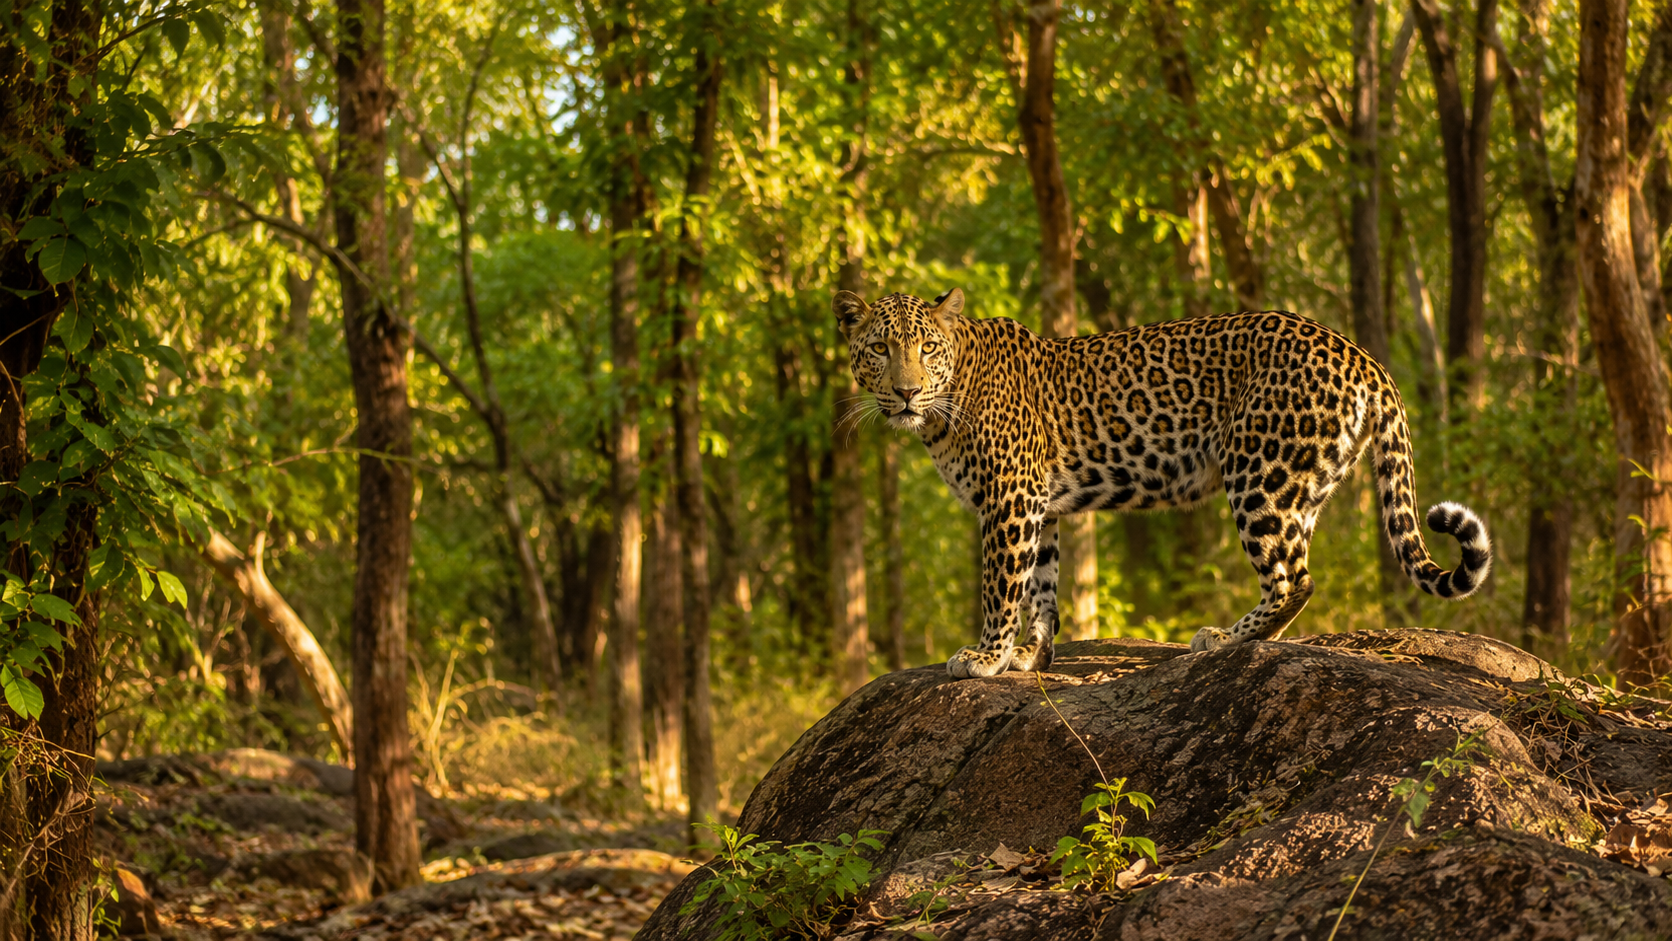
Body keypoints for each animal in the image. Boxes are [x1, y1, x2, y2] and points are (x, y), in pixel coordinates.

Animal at [834, 287, 1492, 679]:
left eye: (926, 347)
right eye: (880, 349)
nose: (906, 391)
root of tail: (1365, 357)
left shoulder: (1010, 500)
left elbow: (1002, 586)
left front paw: (986, 656)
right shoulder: (1040, 507)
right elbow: (1042, 587)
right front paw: (1031, 654)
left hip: (1260, 470)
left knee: (1292, 577)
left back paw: (1223, 640)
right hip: (1304, 482)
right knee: (1299, 573)